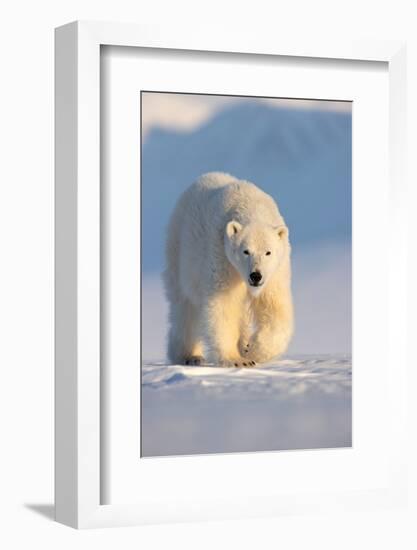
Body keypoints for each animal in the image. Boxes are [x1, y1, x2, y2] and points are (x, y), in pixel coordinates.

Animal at [162, 171, 292, 366]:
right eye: (245, 251)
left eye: (268, 252)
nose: (256, 276)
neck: (251, 205)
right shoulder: (222, 256)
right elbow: (224, 304)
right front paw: (237, 360)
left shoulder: (276, 271)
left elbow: (275, 307)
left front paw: (252, 350)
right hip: (181, 253)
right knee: (185, 307)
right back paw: (189, 355)